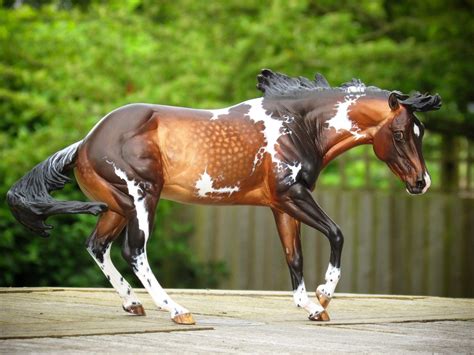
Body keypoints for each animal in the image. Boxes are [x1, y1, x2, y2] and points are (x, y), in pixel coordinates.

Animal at [6, 69, 440, 326]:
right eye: (400, 133)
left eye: (420, 133)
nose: (421, 182)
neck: (299, 125)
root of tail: (85, 143)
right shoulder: (293, 195)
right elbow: (336, 234)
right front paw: (324, 296)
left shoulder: (281, 204)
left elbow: (294, 257)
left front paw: (312, 307)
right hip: (142, 199)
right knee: (135, 252)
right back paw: (178, 311)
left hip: (116, 206)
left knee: (97, 246)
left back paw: (133, 305)